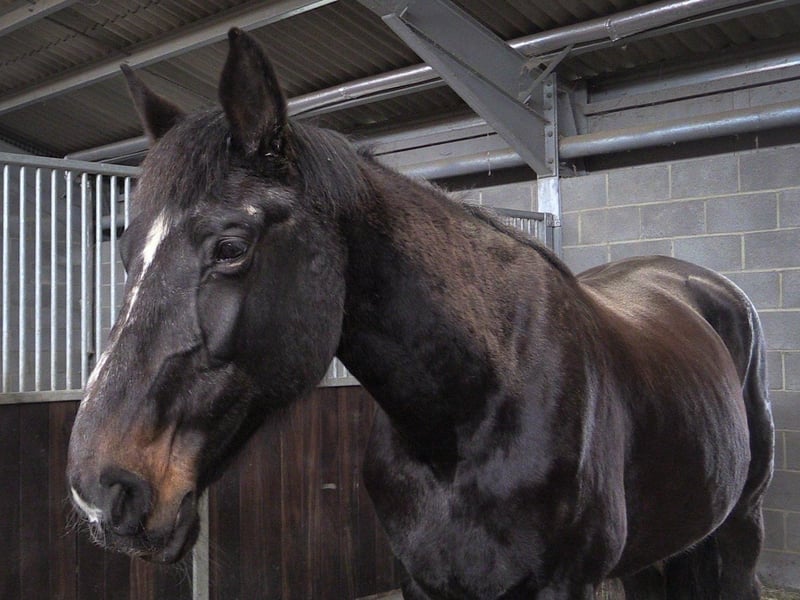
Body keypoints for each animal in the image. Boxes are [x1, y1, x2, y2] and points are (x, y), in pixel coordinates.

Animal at [67, 29, 774, 599]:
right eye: (123, 253)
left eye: (231, 249)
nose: (98, 491)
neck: (468, 416)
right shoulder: (423, 579)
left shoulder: (561, 585)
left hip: (741, 527)